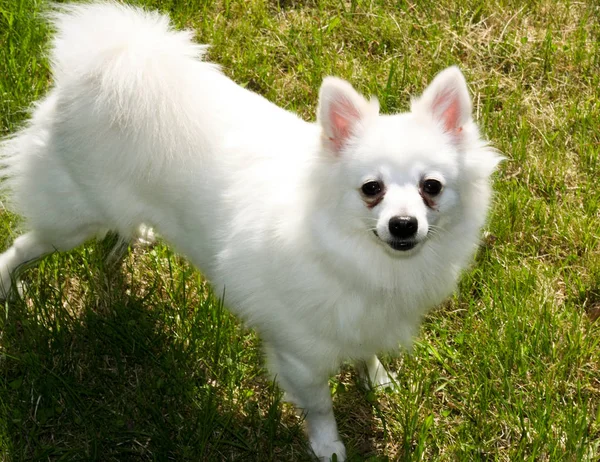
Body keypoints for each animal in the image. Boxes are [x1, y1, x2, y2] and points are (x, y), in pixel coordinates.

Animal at [0, 2, 502, 458]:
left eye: (431, 187)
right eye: (371, 189)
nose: (403, 224)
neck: (357, 253)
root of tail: (105, 67)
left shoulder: (362, 317)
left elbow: (366, 351)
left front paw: (376, 379)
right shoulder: (300, 354)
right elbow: (319, 407)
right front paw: (328, 447)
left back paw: (135, 235)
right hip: (72, 219)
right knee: (21, 246)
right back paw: (8, 285)